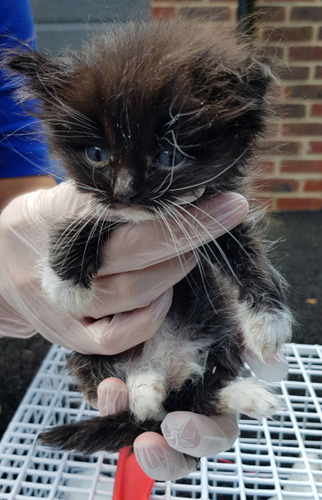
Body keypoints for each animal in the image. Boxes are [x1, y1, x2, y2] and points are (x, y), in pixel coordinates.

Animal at [5, 17, 292, 456]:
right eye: (97, 154)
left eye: (168, 157)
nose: (125, 192)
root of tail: (167, 364)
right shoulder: (101, 205)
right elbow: (91, 215)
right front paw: (65, 282)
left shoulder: (218, 213)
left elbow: (247, 250)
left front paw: (268, 321)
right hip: (90, 356)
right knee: (147, 405)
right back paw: (145, 387)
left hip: (219, 331)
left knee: (187, 401)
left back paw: (240, 395)